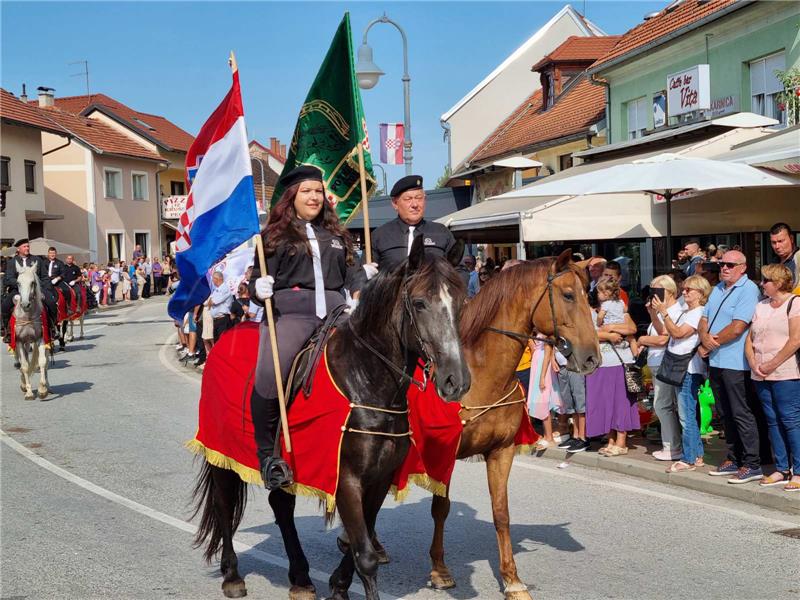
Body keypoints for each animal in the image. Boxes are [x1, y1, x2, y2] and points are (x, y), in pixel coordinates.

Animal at [192, 237, 468, 596]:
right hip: (221, 454)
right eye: (420, 303)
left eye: (461, 302)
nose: (455, 381)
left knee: (281, 507)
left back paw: (300, 577)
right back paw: (233, 575)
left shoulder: (379, 479)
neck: (365, 381)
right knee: (225, 504)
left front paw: (338, 584)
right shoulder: (346, 479)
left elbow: (360, 541)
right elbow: (365, 554)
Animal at [428, 251, 596, 600]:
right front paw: (439, 570)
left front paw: (512, 580)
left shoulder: (501, 451)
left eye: (589, 296)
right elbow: (441, 507)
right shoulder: (444, 456)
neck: (481, 374)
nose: (591, 358)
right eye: (568, 295)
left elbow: (501, 513)